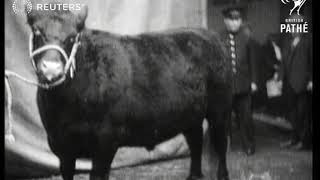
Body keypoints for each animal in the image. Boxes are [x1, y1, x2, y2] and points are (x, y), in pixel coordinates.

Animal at [35, 23, 232, 179]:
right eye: (38, 34)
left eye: (70, 39)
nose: (50, 69)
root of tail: (209, 34)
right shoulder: (60, 145)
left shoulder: (105, 141)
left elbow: (98, 174)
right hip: (190, 115)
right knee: (196, 142)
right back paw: (194, 176)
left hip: (219, 111)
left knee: (220, 145)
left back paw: (222, 175)